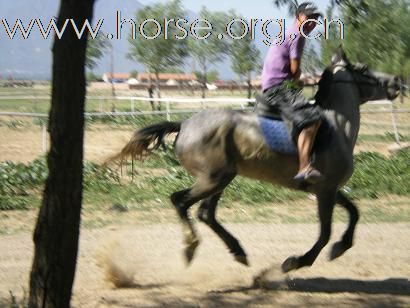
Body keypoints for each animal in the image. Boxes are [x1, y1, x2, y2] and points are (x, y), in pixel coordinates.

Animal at [110, 48, 398, 274]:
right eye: (363, 68)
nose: (396, 80)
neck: (336, 125)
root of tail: (184, 124)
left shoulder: (327, 188)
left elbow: (354, 212)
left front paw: (342, 246)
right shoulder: (325, 190)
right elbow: (325, 233)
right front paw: (296, 262)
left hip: (221, 179)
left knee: (205, 213)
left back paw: (238, 252)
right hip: (212, 179)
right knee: (181, 202)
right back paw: (191, 248)